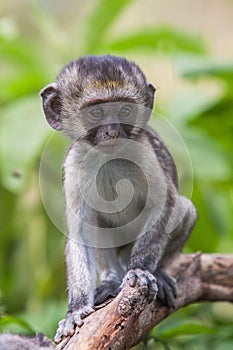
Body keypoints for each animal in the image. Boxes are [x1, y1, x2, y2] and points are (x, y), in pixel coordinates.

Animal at [40, 54, 197, 342]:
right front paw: (75, 309)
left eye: (124, 111)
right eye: (96, 113)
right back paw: (112, 279)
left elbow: (163, 204)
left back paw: (153, 270)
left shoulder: (144, 151)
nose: (112, 132)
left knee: (185, 208)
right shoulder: (74, 163)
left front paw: (140, 270)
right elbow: (81, 231)